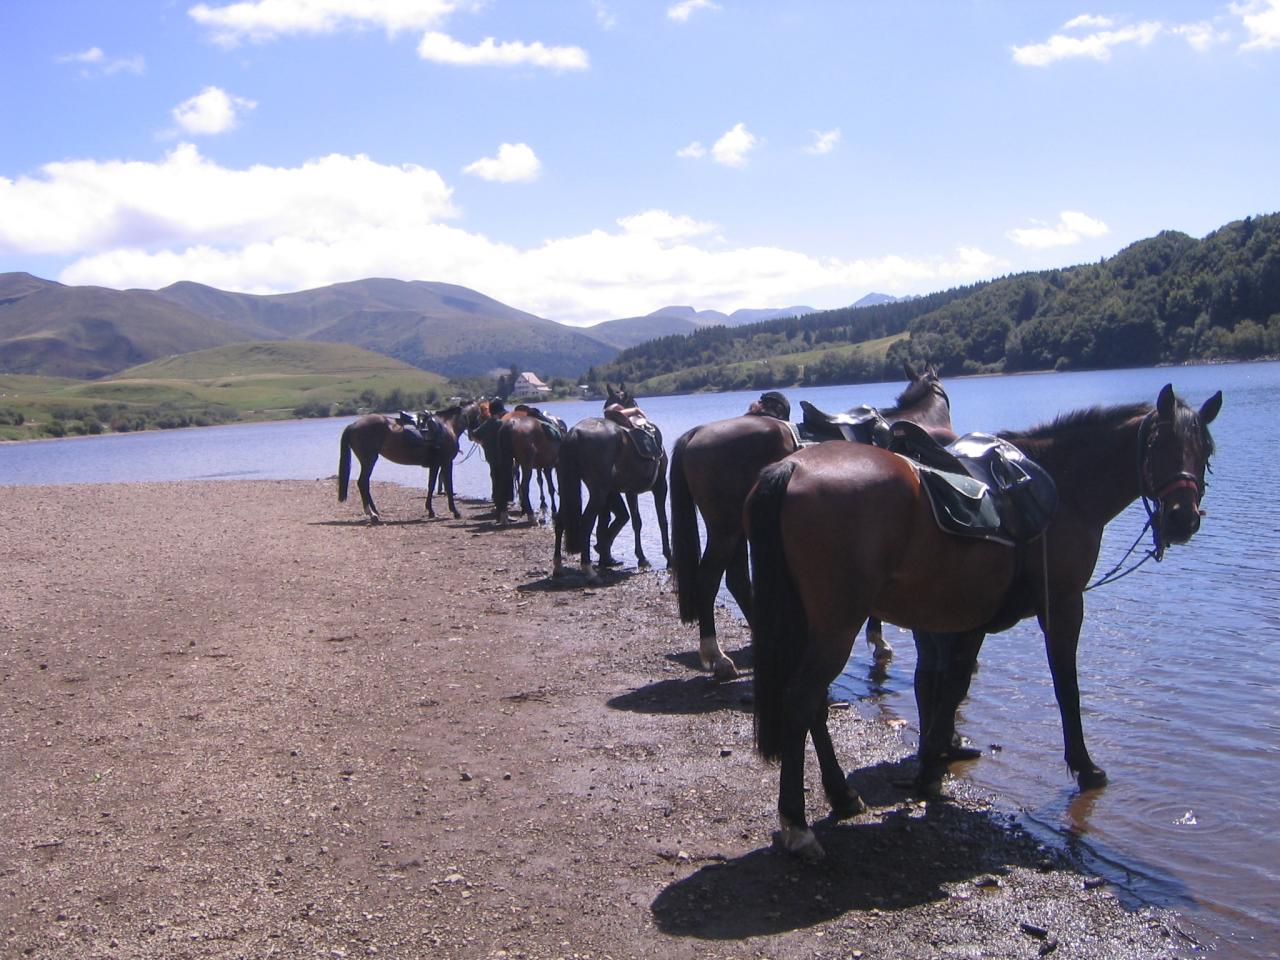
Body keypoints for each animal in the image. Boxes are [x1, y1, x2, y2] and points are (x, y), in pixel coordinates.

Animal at [335, 407, 483, 527]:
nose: (476, 434)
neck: (448, 426)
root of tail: (353, 425)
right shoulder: (446, 462)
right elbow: (449, 486)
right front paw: (455, 511)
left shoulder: (435, 465)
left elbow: (431, 486)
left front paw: (430, 511)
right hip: (369, 460)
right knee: (362, 482)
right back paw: (372, 514)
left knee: (365, 483)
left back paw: (375, 511)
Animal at [550, 386, 670, 583]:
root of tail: (574, 433)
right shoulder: (660, 485)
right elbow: (662, 521)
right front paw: (669, 556)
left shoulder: (630, 491)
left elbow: (636, 522)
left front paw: (641, 558)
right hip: (598, 493)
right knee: (587, 522)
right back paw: (589, 569)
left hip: (569, 488)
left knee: (561, 520)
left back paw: (559, 566)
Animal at [670, 363, 952, 680]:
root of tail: (696, 433)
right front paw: (879, 641)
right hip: (725, 530)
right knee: (708, 580)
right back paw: (717, 657)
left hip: (736, 530)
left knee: (738, 581)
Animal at [747, 386, 1218, 860]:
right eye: (1158, 444)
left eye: (1206, 451)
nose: (1183, 517)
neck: (1064, 488)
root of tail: (792, 466)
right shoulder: (1063, 605)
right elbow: (1066, 688)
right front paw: (1085, 767)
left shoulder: (967, 618)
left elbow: (950, 688)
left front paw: (932, 764)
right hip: (837, 626)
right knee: (801, 699)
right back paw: (797, 824)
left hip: (814, 625)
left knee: (815, 705)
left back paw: (842, 795)